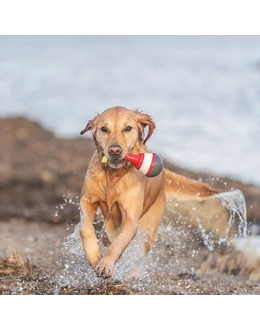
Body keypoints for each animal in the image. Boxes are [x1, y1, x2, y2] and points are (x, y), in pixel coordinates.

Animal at [79, 107, 223, 278]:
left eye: (128, 128)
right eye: (103, 129)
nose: (114, 150)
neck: (113, 176)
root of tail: (164, 173)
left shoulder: (131, 219)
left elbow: (118, 244)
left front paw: (106, 264)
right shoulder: (87, 200)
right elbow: (85, 227)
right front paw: (94, 255)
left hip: (150, 226)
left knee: (140, 251)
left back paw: (134, 275)